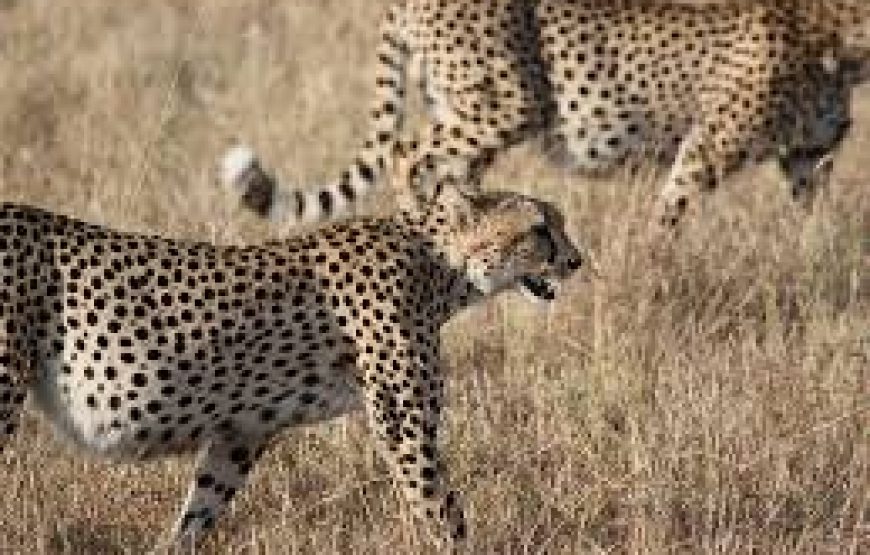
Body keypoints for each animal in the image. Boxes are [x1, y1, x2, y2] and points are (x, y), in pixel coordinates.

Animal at [0, 149, 583, 550]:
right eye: (541, 229)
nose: (576, 260)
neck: (440, 265)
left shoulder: (242, 431)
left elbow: (200, 511)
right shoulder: (404, 427)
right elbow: (442, 510)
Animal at [221, 0, 870, 230]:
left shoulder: (808, 156)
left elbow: (812, 215)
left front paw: (816, 257)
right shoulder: (709, 144)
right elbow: (671, 211)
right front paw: (656, 263)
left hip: (467, 105)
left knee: (449, 173)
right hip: (506, 99)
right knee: (409, 154)